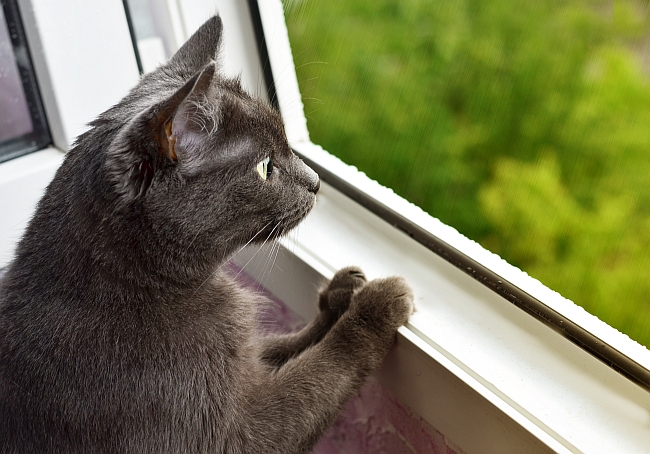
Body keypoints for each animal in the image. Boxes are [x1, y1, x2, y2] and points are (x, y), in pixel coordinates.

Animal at [0, 15, 412, 454]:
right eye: (266, 167)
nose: (317, 181)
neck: (136, 289)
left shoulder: (240, 365)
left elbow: (277, 348)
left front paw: (341, 294)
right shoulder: (231, 435)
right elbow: (317, 376)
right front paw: (376, 305)